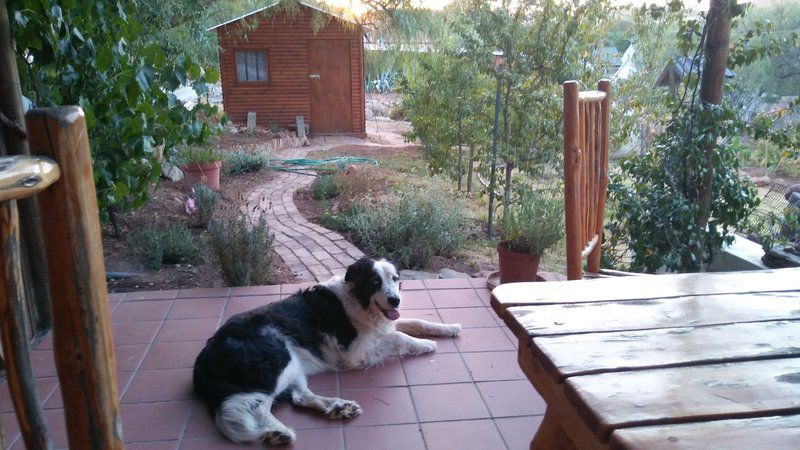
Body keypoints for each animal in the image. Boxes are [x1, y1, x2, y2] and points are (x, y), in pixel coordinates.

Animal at [190, 258, 460, 444]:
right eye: (375, 282)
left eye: (394, 279)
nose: (396, 300)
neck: (358, 301)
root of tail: (204, 357)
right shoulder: (355, 353)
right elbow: (398, 335)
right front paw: (425, 345)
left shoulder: (383, 326)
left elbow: (415, 322)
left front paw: (449, 328)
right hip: (278, 356)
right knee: (258, 406)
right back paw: (278, 433)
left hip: (292, 363)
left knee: (300, 397)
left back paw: (340, 408)